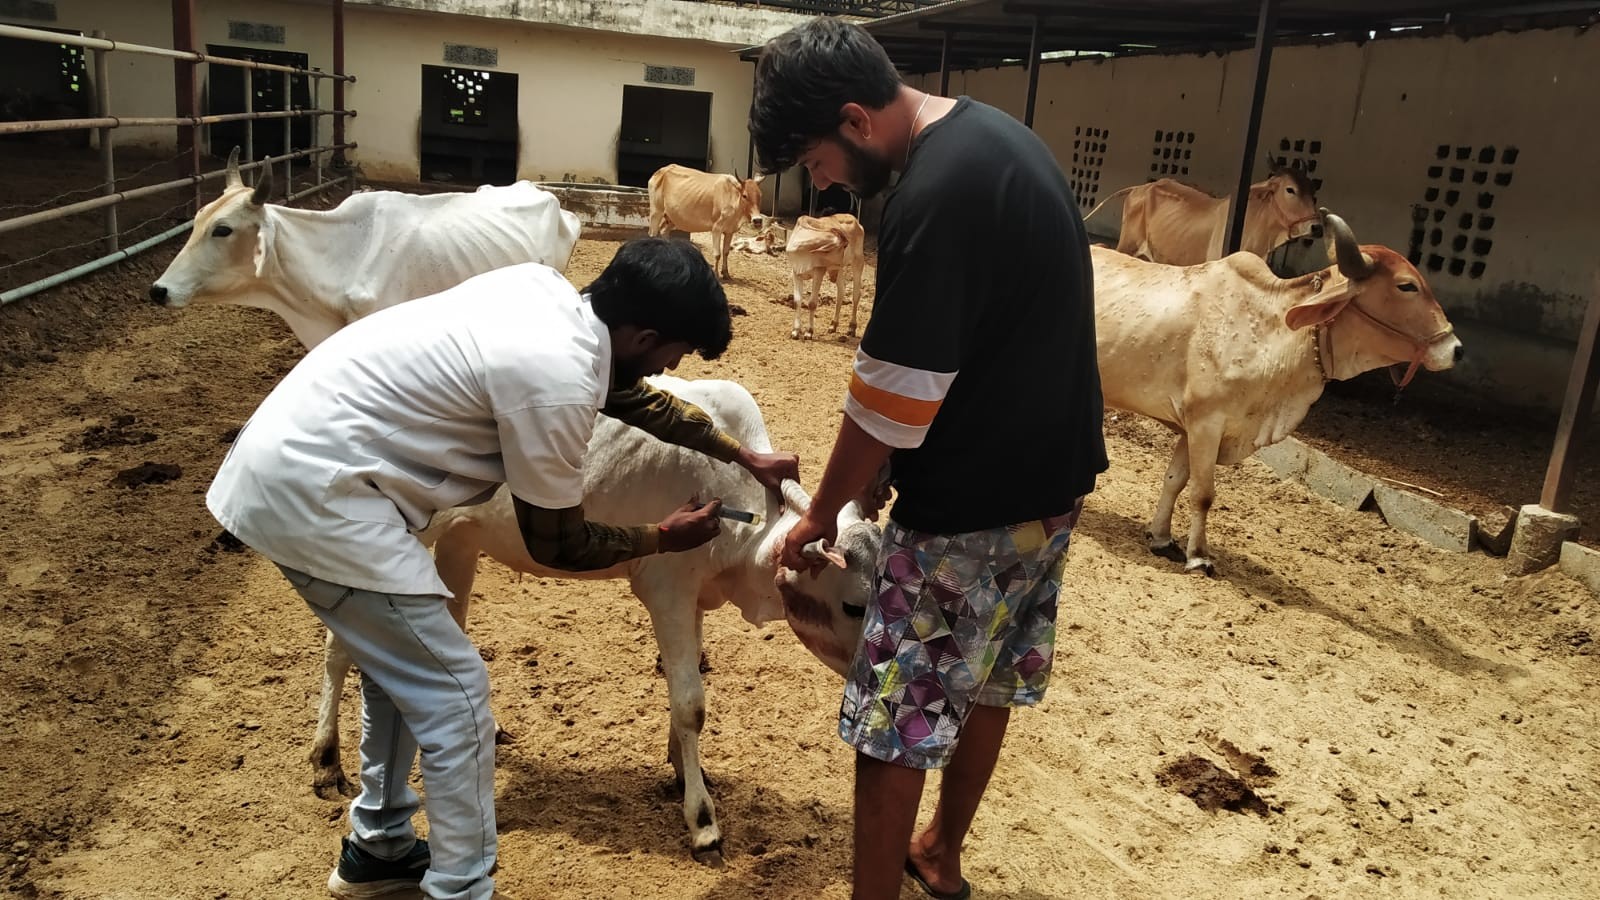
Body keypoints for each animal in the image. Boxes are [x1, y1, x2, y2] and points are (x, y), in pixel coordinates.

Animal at [305, 374, 883, 858]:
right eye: (853, 604)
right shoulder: (666, 590)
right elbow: (691, 705)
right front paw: (702, 822)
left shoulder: (692, 599)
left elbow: (684, 688)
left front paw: (682, 770)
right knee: (338, 650)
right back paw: (327, 758)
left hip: (459, 543)